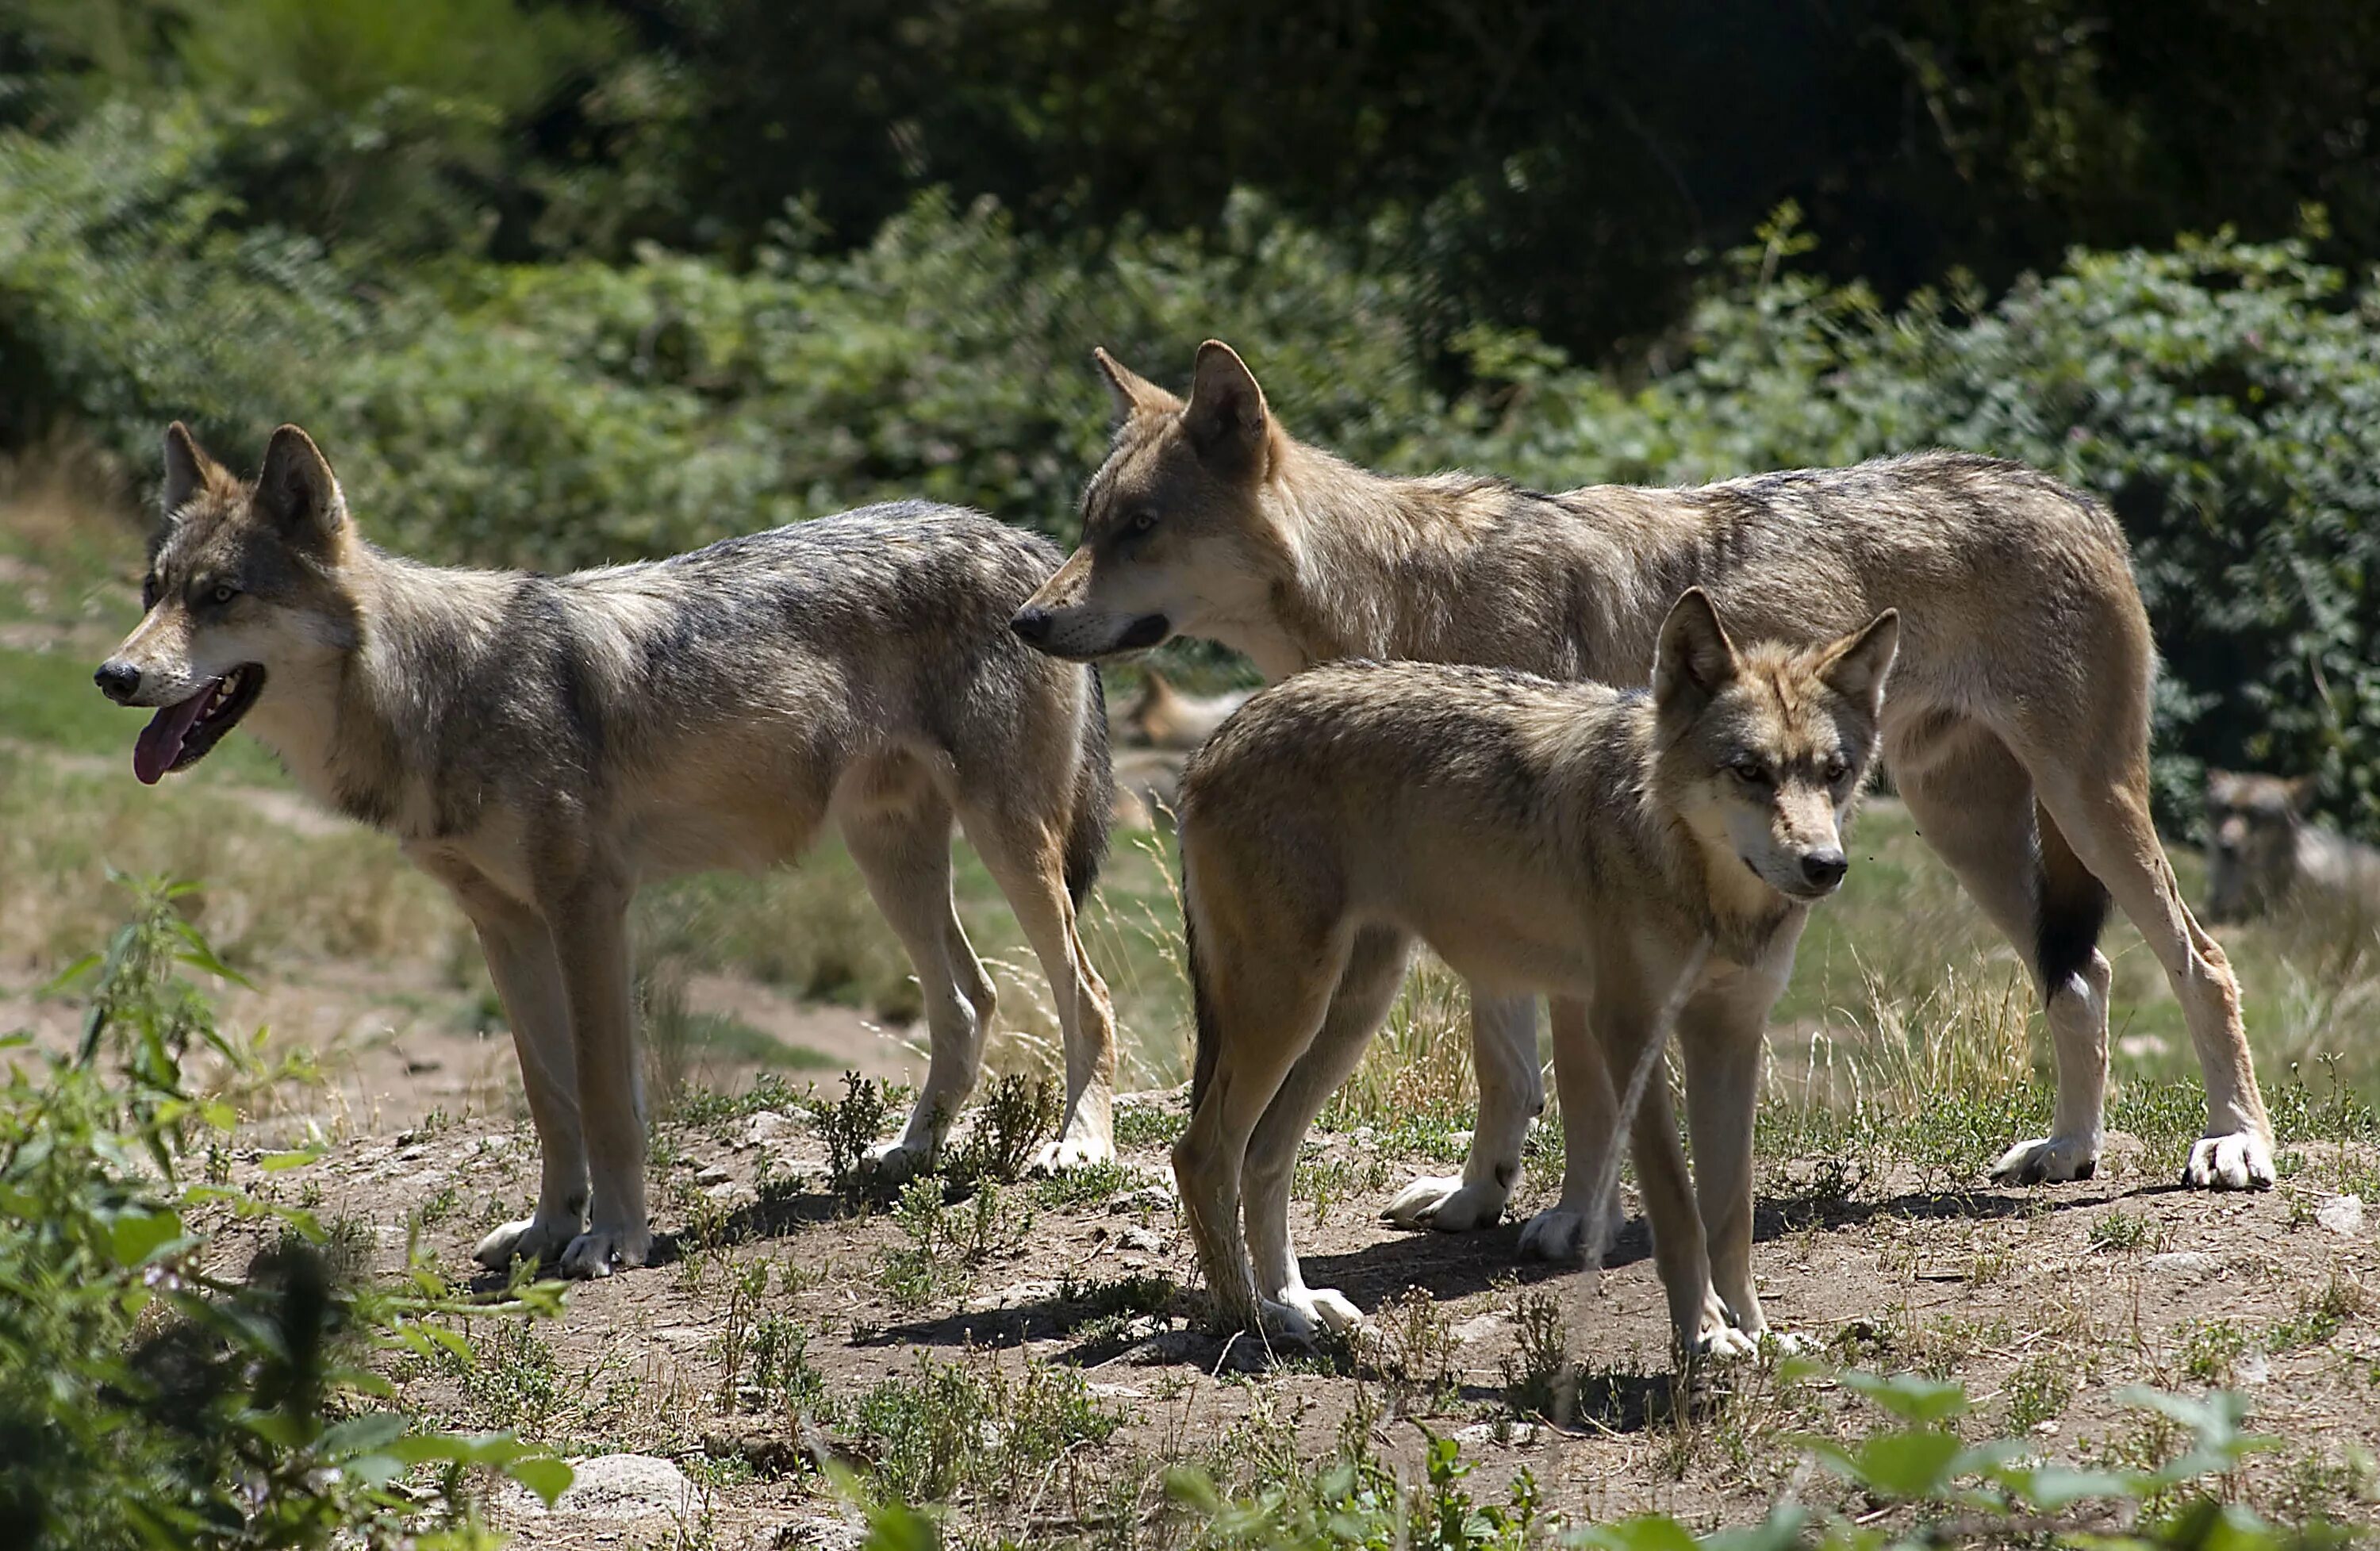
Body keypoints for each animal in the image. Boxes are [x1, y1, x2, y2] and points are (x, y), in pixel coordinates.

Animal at [98, 420, 1119, 1275]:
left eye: (221, 596)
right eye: (152, 591)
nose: (113, 674)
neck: (436, 694)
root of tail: (1028, 542)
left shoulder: (588, 905)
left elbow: (604, 1095)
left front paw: (615, 1237)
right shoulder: (504, 924)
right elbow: (550, 1100)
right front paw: (548, 1228)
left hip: (1009, 847)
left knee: (1087, 995)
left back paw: (1078, 1143)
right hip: (889, 859)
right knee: (970, 999)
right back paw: (909, 1152)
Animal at [1014, 342, 2275, 1256]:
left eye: (1138, 527)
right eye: (1088, 523)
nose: (1025, 621)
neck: (1398, 604)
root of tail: (2077, 494)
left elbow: (1577, 1087)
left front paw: (1574, 1220)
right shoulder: (1486, 883)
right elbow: (1504, 1070)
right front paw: (1475, 1199)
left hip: (2088, 804)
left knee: (2203, 960)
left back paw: (2233, 1144)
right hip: (1967, 826)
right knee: (2086, 973)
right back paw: (2068, 1147)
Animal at [1171, 587, 1894, 1351]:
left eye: (1834, 772)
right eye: (1750, 770)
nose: (1826, 865)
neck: (1699, 882)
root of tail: (1218, 736)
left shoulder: (1731, 1036)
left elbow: (1730, 1212)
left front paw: (1757, 1334)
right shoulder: (1629, 1028)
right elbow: (1678, 1205)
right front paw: (1705, 1335)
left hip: (1347, 1014)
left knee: (1264, 1156)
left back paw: (1298, 1302)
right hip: (1289, 1011)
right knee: (1203, 1155)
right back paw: (1254, 1316)